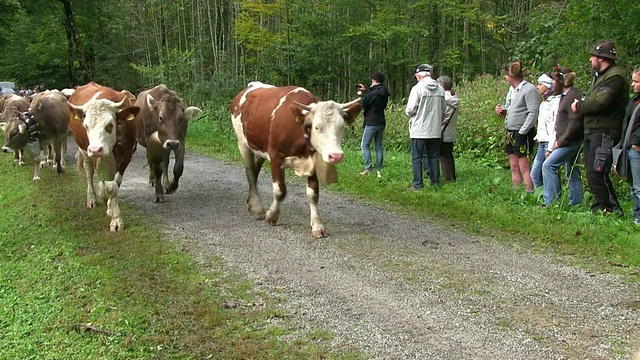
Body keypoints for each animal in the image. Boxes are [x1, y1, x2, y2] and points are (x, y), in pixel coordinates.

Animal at [67, 81, 140, 231]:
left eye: (110, 125)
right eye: (86, 125)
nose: (95, 149)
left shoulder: (126, 156)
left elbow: (115, 183)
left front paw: (111, 209)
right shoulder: (97, 155)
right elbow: (109, 185)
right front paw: (116, 219)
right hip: (85, 151)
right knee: (89, 172)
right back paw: (92, 199)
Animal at [229, 82, 360, 238]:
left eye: (341, 127)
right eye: (317, 127)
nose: (336, 155)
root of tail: (250, 86)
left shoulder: (313, 162)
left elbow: (313, 195)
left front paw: (317, 226)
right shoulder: (275, 157)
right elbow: (280, 191)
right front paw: (272, 216)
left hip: (260, 148)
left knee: (255, 170)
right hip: (243, 143)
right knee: (249, 170)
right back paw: (257, 207)